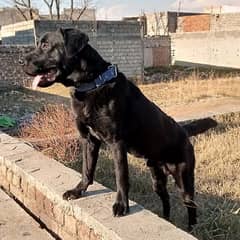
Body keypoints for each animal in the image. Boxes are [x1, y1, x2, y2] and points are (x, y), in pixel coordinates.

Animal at [21, 27, 218, 227]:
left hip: (184, 179)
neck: (92, 84)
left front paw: (122, 205)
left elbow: (121, 177)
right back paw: (166, 218)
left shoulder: (117, 143)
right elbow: (86, 170)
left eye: (45, 45)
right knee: (166, 198)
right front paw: (78, 191)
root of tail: (183, 131)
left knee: (191, 205)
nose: (21, 61)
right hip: (157, 178)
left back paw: (191, 227)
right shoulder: (89, 140)